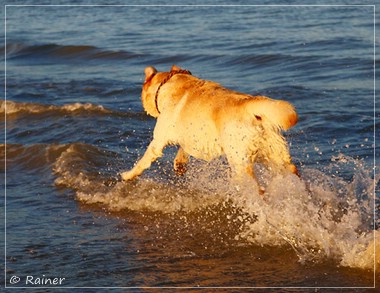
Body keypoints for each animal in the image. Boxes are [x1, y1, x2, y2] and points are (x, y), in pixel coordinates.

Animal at [122, 65, 300, 190]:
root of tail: (251, 107)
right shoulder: (192, 135)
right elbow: (183, 149)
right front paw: (180, 164)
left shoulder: (158, 141)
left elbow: (142, 162)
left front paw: (128, 175)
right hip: (275, 157)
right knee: (293, 171)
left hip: (239, 161)